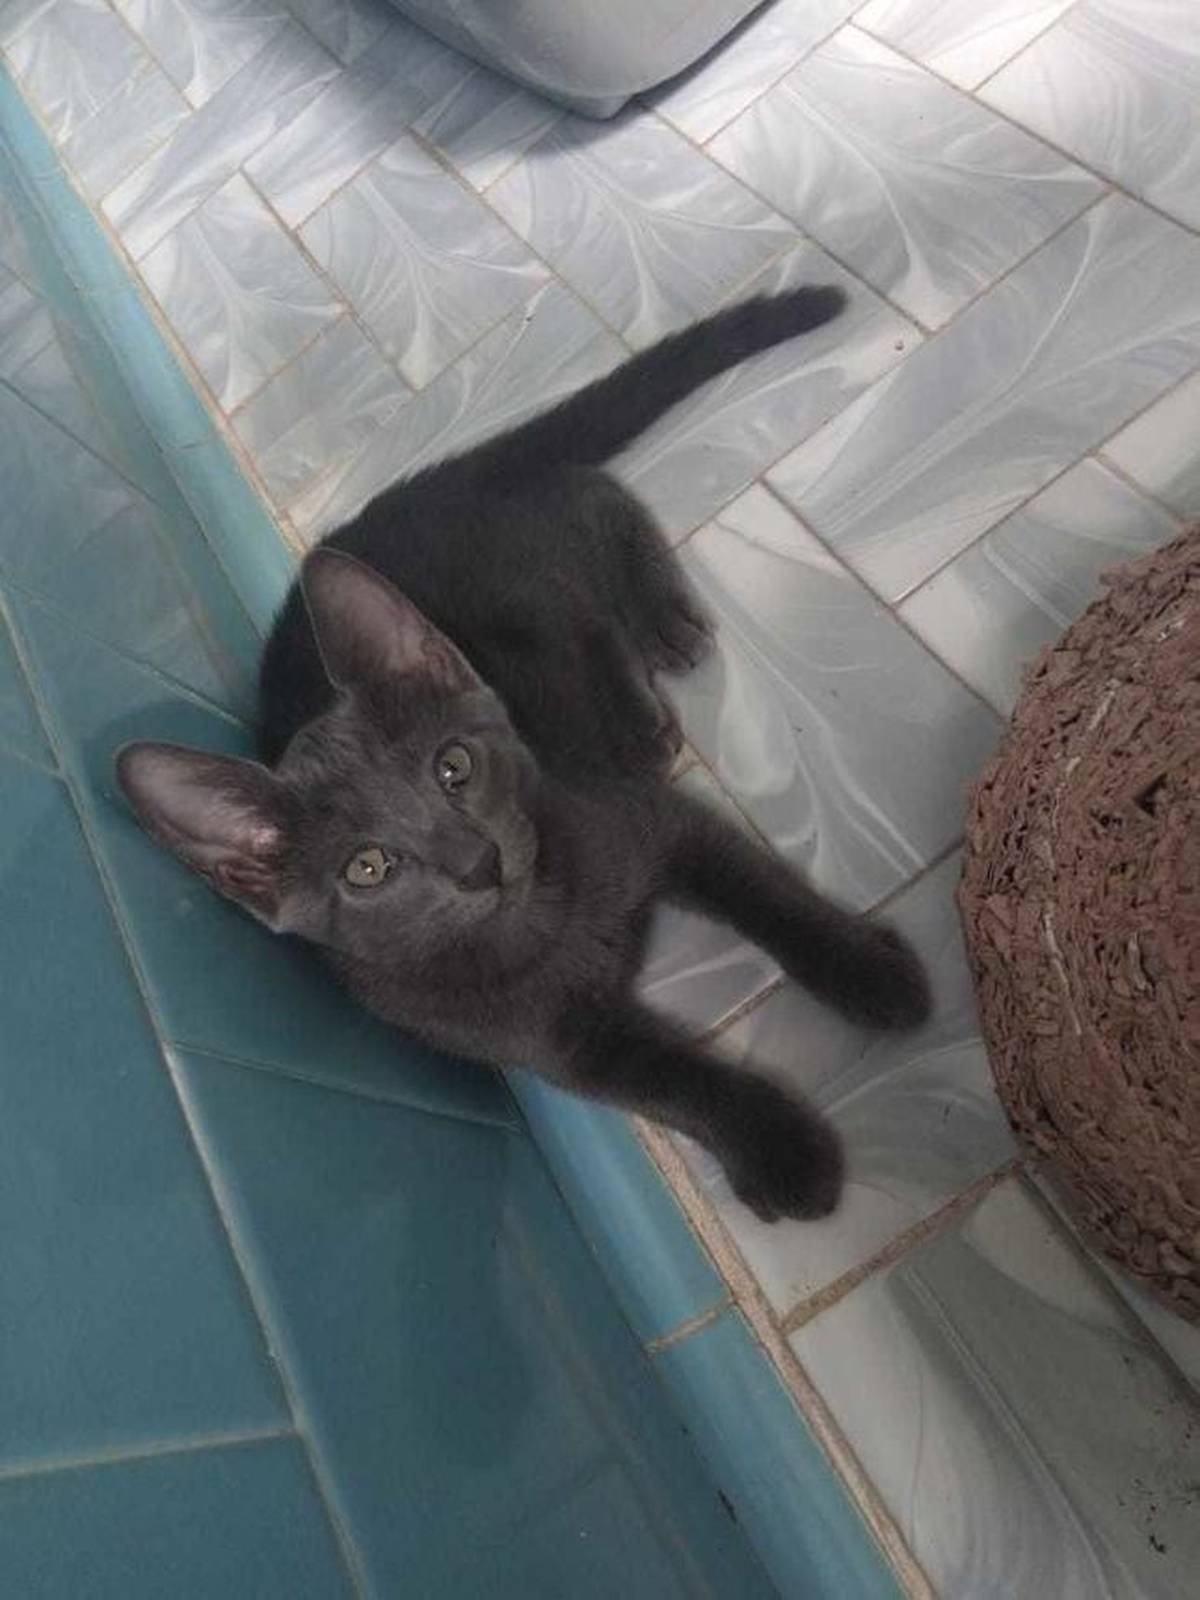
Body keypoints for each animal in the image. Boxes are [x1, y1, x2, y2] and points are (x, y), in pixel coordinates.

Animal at [117, 286, 931, 1223]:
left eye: (453, 768)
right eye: (367, 867)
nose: (478, 864)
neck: (550, 922)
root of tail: (425, 487)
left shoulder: (659, 823)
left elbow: (772, 898)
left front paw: (871, 974)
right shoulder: (560, 1045)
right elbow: (673, 1083)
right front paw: (783, 1151)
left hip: (530, 566)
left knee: (590, 498)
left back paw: (656, 630)